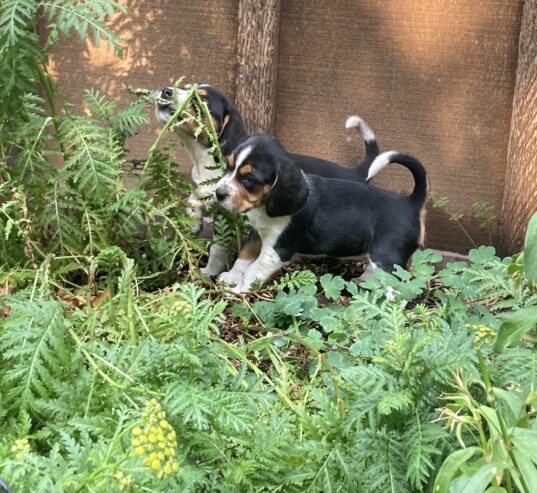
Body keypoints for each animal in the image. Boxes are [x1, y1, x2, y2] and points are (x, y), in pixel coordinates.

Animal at [214, 134, 428, 292]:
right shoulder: (257, 235)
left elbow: (252, 271)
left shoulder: (275, 251)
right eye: (229, 166)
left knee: (397, 291)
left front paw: (237, 290)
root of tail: (411, 203)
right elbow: (244, 257)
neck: (264, 208)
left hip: (387, 258)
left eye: (249, 179)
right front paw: (230, 277)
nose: (218, 193)